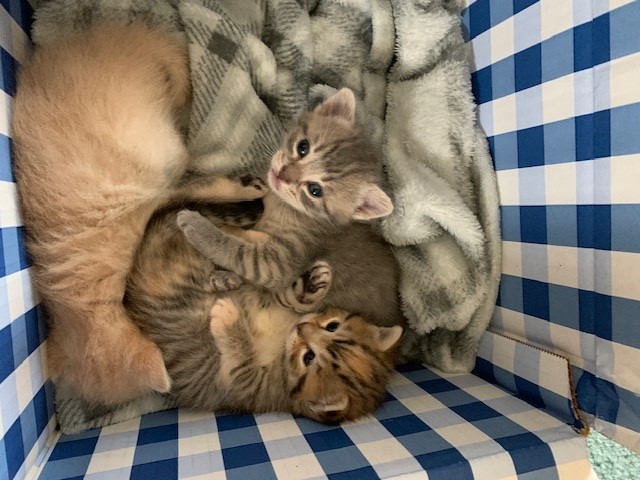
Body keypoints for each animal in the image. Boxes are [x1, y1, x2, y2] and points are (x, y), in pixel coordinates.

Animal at [178, 88, 402, 328]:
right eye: (303, 147)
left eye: (315, 190)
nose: (283, 174)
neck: (281, 205)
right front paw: (222, 275)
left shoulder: (283, 260)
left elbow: (237, 252)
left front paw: (198, 227)